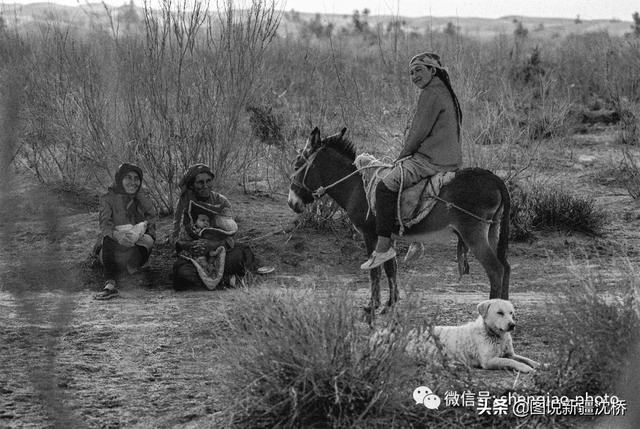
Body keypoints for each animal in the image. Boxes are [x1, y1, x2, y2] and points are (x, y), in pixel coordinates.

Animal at [370, 298, 540, 372]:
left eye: (511, 313)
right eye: (500, 313)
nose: (512, 325)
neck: (494, 334)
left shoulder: (510, 353)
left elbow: (525, 358)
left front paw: (540, 365)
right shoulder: (489, 361)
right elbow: (512, 362)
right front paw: (525, 368)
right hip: (427, 346)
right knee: (425, 362)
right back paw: (452, 365)